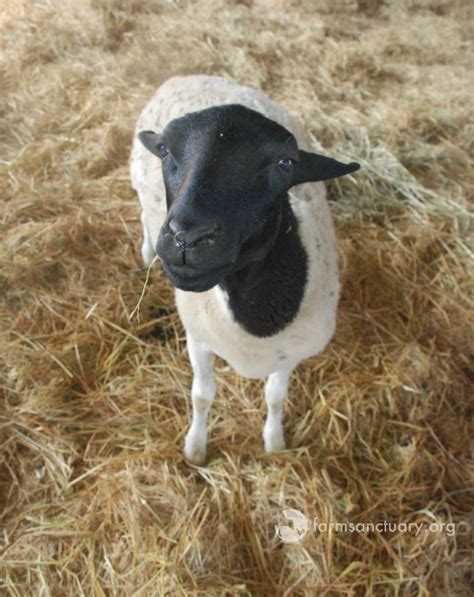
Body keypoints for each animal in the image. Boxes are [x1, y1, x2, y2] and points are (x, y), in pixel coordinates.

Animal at [130, 75, 360, 466]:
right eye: (164, 149)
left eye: (286, 163)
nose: (187, 239)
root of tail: (190, 75)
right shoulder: (199, 339)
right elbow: (202, 395)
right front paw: (195, 448)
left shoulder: (288, 354)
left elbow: (275, 398)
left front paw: (275, 443)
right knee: (145, 215)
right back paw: (146, 252)